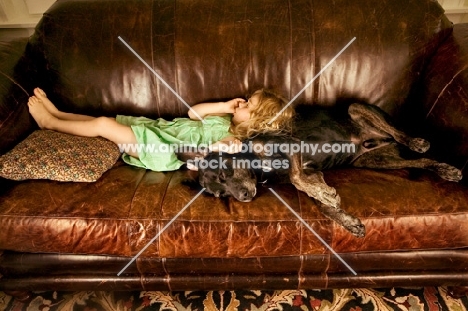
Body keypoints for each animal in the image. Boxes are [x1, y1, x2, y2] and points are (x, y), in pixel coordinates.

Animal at [181, 103, 462, 238]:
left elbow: (297, 179)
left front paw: (329, 198)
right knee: (420, 162)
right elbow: (318, 200)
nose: (243, 197)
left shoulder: (291, 146)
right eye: (221, 195)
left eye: (223, 173)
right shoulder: (313, 173)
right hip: (373, 160)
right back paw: (446, 169)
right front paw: (346, 219)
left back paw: (417, 142)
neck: (258, 168)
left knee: (400, 134)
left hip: (356, 109)